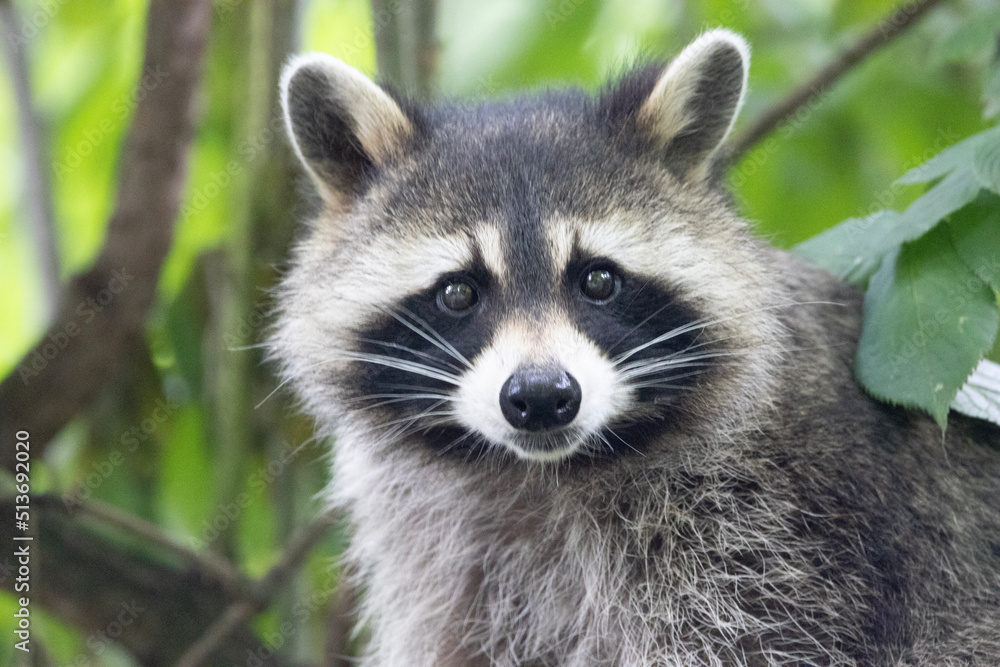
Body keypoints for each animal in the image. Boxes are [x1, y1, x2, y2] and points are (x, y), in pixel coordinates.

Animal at [272, 28, 1000, 664]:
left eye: (598, 280)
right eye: (458, 293)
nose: (542, 396)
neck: (540, 474)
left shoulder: (780, 544)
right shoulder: (445, 563)